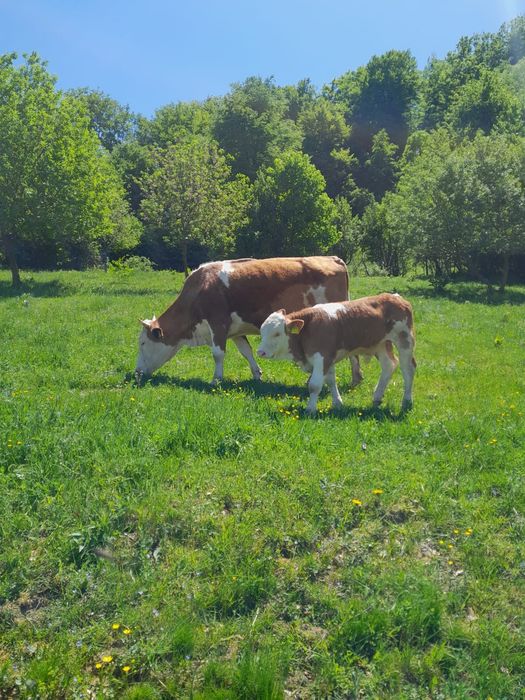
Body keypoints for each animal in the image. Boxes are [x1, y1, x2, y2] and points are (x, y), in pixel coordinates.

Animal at [135, 256, 363, 386]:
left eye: (143, 343)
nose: (137, 372)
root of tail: (332, 258)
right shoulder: (235, 330)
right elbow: (246, 351)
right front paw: (256, 374)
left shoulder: (218, 324)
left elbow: (218, 354)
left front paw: (216, 380)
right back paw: (355, 379)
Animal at [256, 293, 416, 414]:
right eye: (262, 332)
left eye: (276, 334)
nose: (260, 352)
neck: (309, 327)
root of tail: (395, 297)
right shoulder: (328, 358)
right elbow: (331, 380)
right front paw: (337, 403)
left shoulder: (322, 356)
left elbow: (314, 385)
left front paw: (310, 409)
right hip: (381, 344)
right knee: (389, 365)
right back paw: (377, 397)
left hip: (405, 340)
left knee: (408, 369)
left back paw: (407, 401)